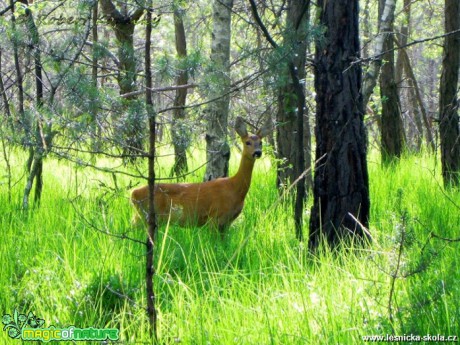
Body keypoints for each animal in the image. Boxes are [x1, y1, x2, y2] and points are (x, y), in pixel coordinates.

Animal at [129, 115, 272, 231]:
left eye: (261, 142)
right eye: (247, 142)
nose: (257, 153)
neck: (235, 188)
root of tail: (133, 193)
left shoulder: (227, 222)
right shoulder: (215, 216)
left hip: (142, 216)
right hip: (148, 215)